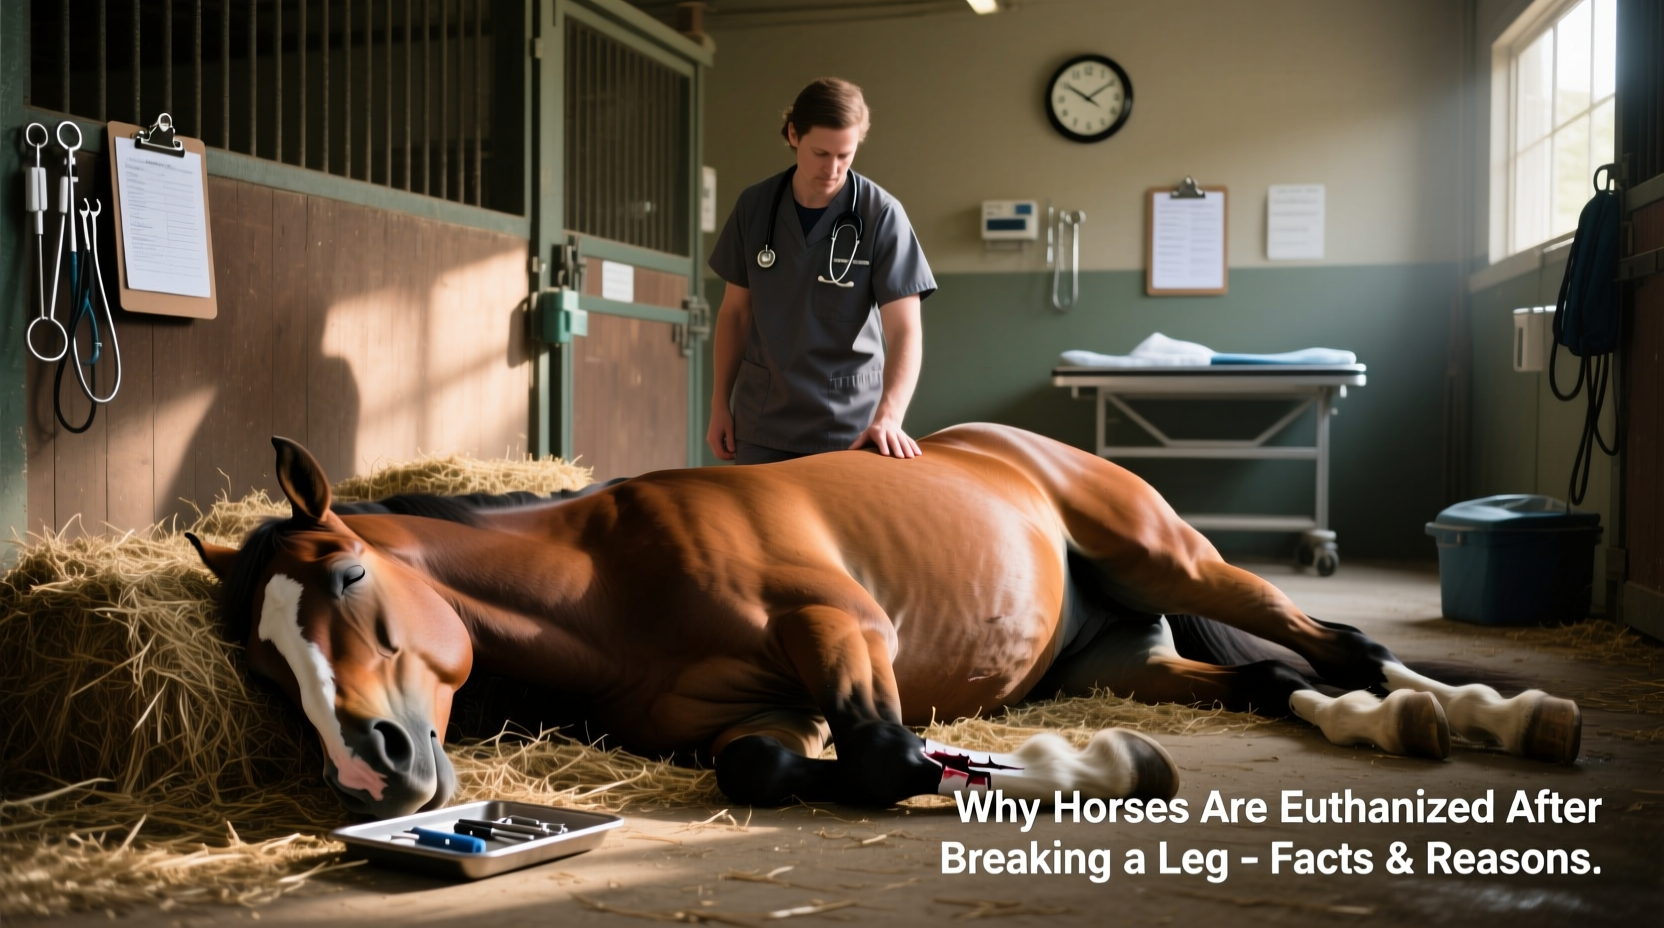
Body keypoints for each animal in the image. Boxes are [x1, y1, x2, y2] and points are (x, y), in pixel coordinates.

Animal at [187, 426, 1582, 819]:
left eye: (343, 579)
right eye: (256, 654)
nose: (365, 770)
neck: (611, 580)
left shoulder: (840, 628)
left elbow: (883, 752)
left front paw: (1073, 776)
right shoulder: (747, 716)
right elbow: (782, 764)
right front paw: (1094, 762)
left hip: (1174, 558)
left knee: (1337, 642)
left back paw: (1482, 711)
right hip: (1129, 656)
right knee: (1266, 683)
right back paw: (1393, 724)